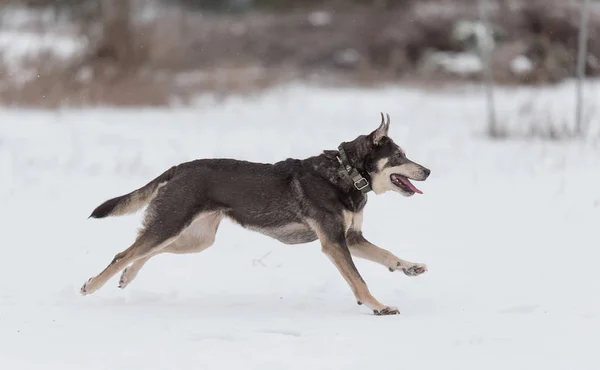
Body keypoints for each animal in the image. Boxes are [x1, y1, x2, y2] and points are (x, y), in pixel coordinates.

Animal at [79, 112, 432, 316]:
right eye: (400, 156)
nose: (428, 171)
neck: (346, 173)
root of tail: (178, 168)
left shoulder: (352, 238)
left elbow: (387, 255)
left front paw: (410, 267)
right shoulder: (334, 242)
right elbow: (359, 281)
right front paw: (379, 307)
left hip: (195, 238)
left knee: (142, 252)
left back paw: (127, 277)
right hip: (172, 223)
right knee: (124, 253)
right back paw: (93, 285)